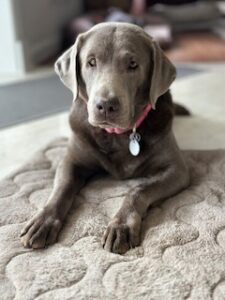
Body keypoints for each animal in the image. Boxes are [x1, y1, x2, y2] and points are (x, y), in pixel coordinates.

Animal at [20, 22, 190, 254]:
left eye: (133, 64)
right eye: (91, 62)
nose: (106, 105)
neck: (117, 135)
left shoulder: (177, 170)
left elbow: (138, 189)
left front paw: (121, 226)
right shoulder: (71, 160)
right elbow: (62, 187)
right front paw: (42, 221)